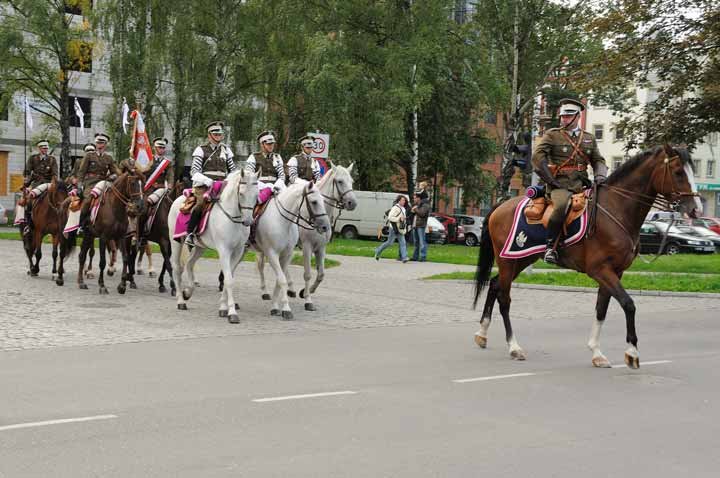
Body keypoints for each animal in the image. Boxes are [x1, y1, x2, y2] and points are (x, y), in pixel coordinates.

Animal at [169, 170, 258, 324]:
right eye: (241, 193)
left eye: (256, 195)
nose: (248, 221)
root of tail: (178, 199)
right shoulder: (224, 251)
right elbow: (229, 280)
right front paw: (232, 313)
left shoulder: (238, 252)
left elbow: (229, 278)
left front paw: (223, 308)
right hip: (176, 242)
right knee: (176, 267)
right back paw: (181, 300)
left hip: (200, 247)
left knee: (189, 264)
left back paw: (188, 292)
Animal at [253, 177, 332, 320]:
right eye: (314, 202)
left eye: (323, 201)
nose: (325, 227)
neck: (282, 221)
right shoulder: (273, 253)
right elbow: (285, 279)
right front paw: (287, 308)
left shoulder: (289, 254)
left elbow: (280, 279)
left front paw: (275, 306)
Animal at [292, 163, 358, 310]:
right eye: (340, 181)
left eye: (352, 181)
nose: (352, 203)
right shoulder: (307, 247)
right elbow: (307, 274)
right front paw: (308, 300)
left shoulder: (321, 248)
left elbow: (321, 274)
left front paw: (306, 291)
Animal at [472, 146, 704, 370]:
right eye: (678, 172)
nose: (696, 209)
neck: (616, 210)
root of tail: (501, 206)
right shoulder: (600, 270)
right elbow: (628, 304)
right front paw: (632, 353)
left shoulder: (615, 272)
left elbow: (602, 309)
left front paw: (597, 353)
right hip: (508, 260)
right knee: (504, 298)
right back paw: (514, 347)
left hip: (520, 259)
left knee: (494, 285)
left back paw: (482, 334)